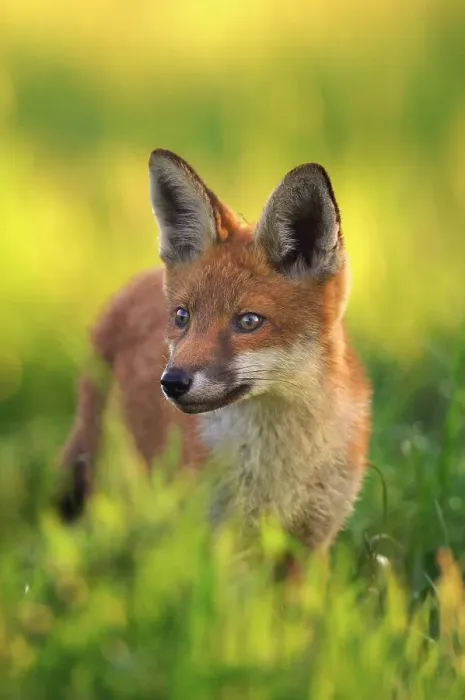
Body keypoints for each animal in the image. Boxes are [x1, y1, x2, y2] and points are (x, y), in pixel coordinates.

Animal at [58, 148, 371, 553]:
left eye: (249, 321)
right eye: (182, 317)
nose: (172, 382)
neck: (280, 472)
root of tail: (133, 282)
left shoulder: (312, 540)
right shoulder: (213, 534)